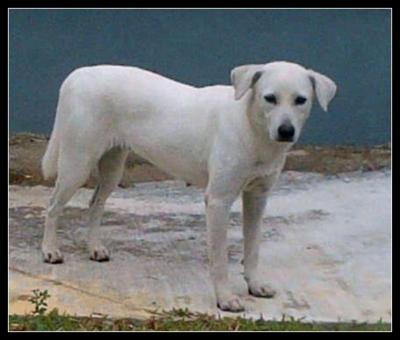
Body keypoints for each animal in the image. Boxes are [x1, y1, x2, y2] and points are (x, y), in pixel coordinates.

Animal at [40, 61, 336, 310]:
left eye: (300, 100)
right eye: (270, 98)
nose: (286, 131)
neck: (252, 128)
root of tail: (78, 74)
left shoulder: (257, 198)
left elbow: (252, 249)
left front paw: (254, 285)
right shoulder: (218, 201)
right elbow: (219, 259)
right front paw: (225, 299)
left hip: (113, 165)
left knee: (95, 203)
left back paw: (94, 248)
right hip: (77, 163)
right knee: (52, 207)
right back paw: (50, 250)